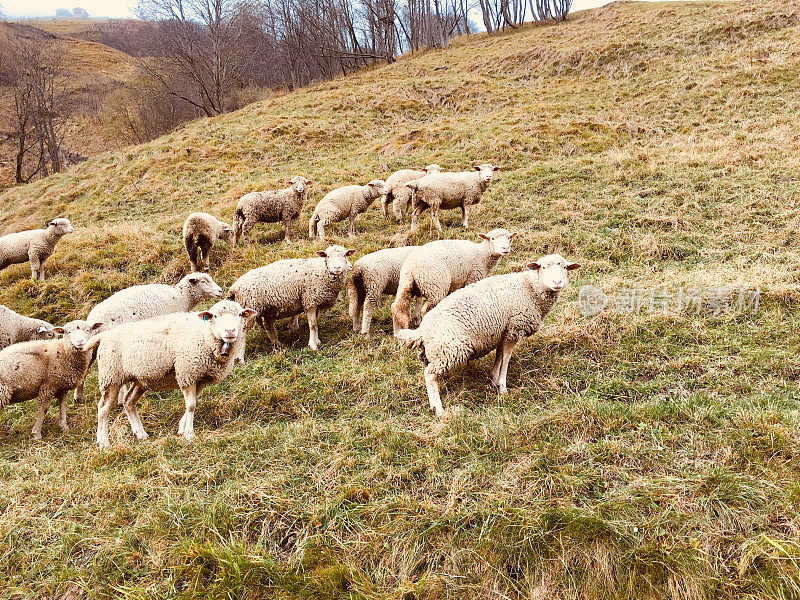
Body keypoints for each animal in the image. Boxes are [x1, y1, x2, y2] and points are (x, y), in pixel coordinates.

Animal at [89, 298, 255, 448]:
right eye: (214, 316)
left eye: (240, 314)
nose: (230, 331)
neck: (204, 334)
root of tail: (105, 335)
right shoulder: (187, 374)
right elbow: (191, 406)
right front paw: (189, 434)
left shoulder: (200, 378)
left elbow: (194, 402)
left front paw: (182, 428)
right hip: (111, 377)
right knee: (103, 409)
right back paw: (103, 442)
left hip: (139, 380)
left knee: (128, 401)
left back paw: (140, 434)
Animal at [398, 254, 580, 418]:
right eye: (543, 267)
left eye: (565, 267)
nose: (557, 283)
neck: (529, 289)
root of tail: (422, 330)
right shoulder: (514, 329)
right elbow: (506, 359)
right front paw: (502, 387)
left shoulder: (503, 332)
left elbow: (499, 356)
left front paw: (493, 379)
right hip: (450, 350)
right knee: (429, 374)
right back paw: (438, 408)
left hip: (438, 352)